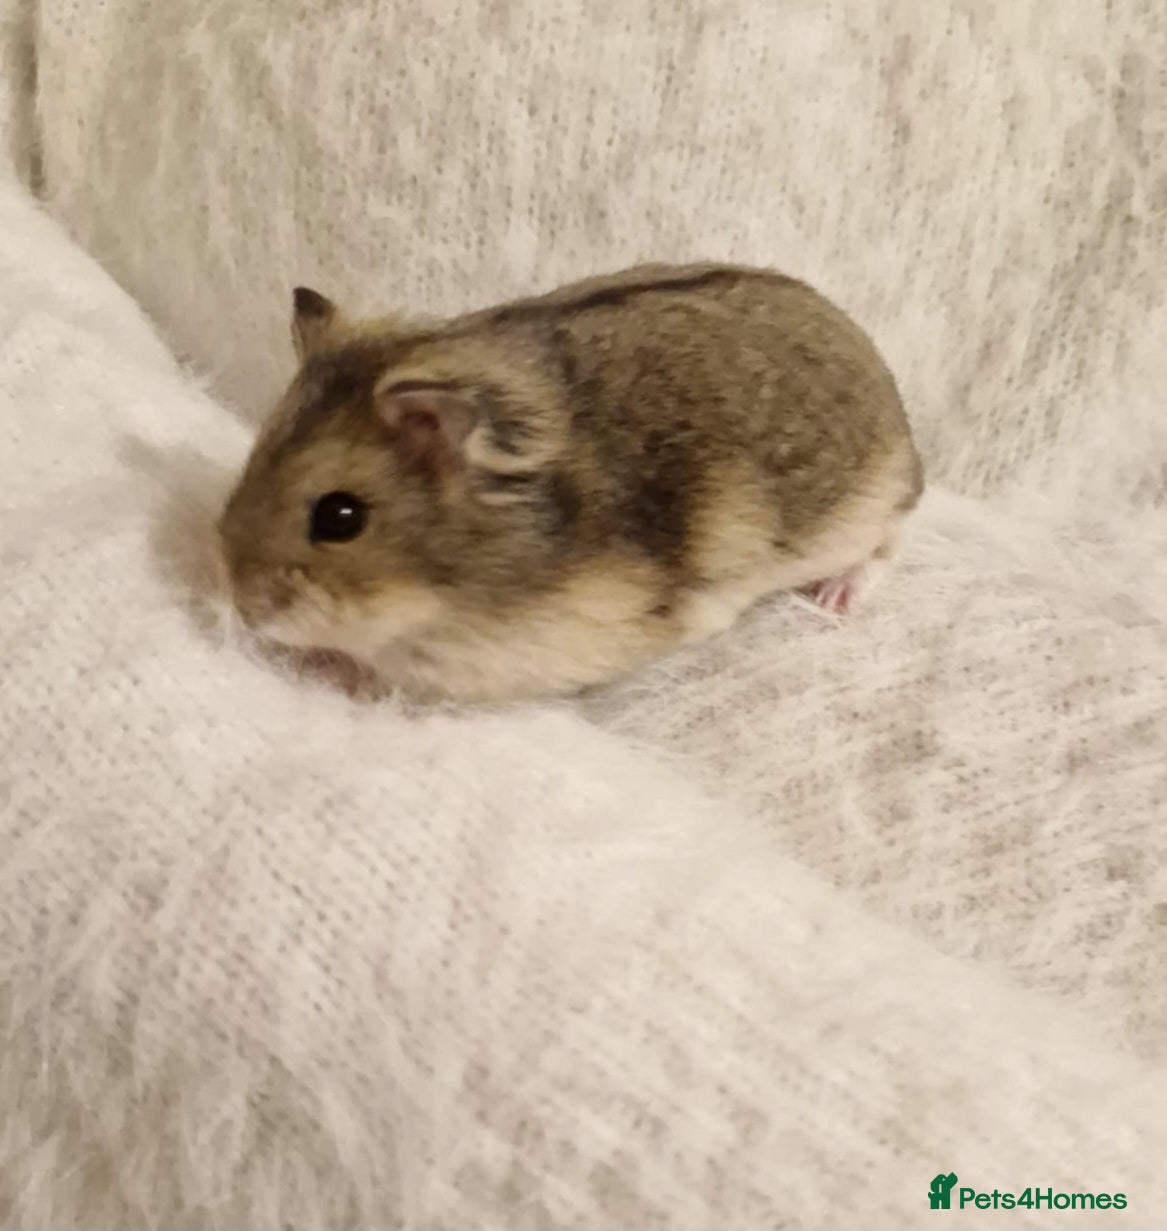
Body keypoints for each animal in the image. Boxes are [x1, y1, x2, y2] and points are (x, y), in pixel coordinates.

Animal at [218, 264, 923, 702]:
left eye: (340, 517)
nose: (244, 610)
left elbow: (389, 671)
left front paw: (321, 665)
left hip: (870, 506)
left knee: (889, 544)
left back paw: (834, 598)